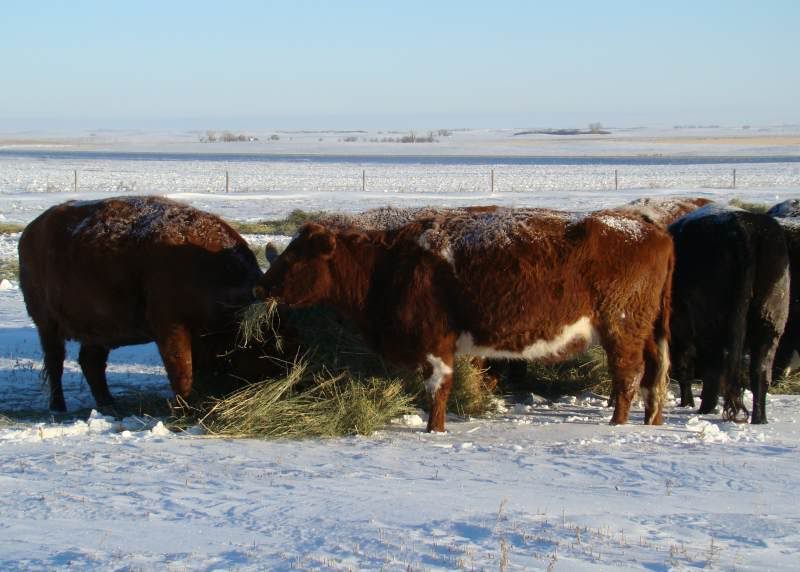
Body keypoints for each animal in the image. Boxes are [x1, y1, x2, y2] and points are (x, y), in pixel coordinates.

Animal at [19, 196, 271, 412]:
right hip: (47, 324)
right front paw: (184, 409)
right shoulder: (171, 329)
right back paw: (58, 407)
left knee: (91, 363)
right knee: (55, 362)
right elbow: (182, 371)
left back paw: (109, 404)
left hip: (99, 329)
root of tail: (31, 231)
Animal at [254, 207, 674, 432]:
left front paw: (434, 430)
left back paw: (618, 424)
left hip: (621, 328)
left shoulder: (435, 344)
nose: (260, 286)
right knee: (653, 374)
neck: (389, 263)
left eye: (297, 258)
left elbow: (438, 390)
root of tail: (651, 228)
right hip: (646, 331)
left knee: (628, 375)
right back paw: (651, 421)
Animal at [669, 204, 790, 424]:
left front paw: (687, 402)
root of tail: (744, 227)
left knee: (715, 365)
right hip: (771, 317)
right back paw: (759, 418)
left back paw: (705, 409)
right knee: (760, 369)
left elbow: (684, 364)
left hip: (710, 323)